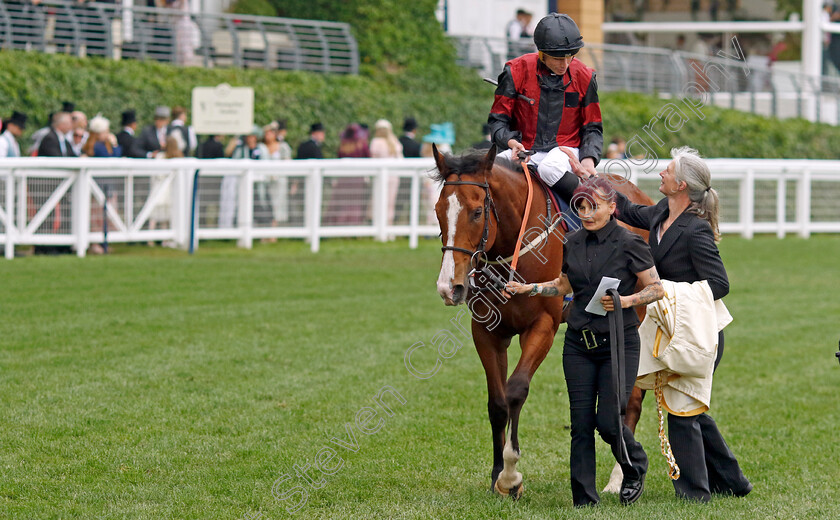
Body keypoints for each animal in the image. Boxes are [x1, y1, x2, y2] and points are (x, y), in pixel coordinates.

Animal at [430, 144, 652, 498]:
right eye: (438, 211)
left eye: (477, 212)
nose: (449, 287)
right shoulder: (487, 332)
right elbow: (497, 402)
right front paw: (497, 476)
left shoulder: (542, 327)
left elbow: (516, 390)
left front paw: (510, 475)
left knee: (629, 399)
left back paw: (620, 478)